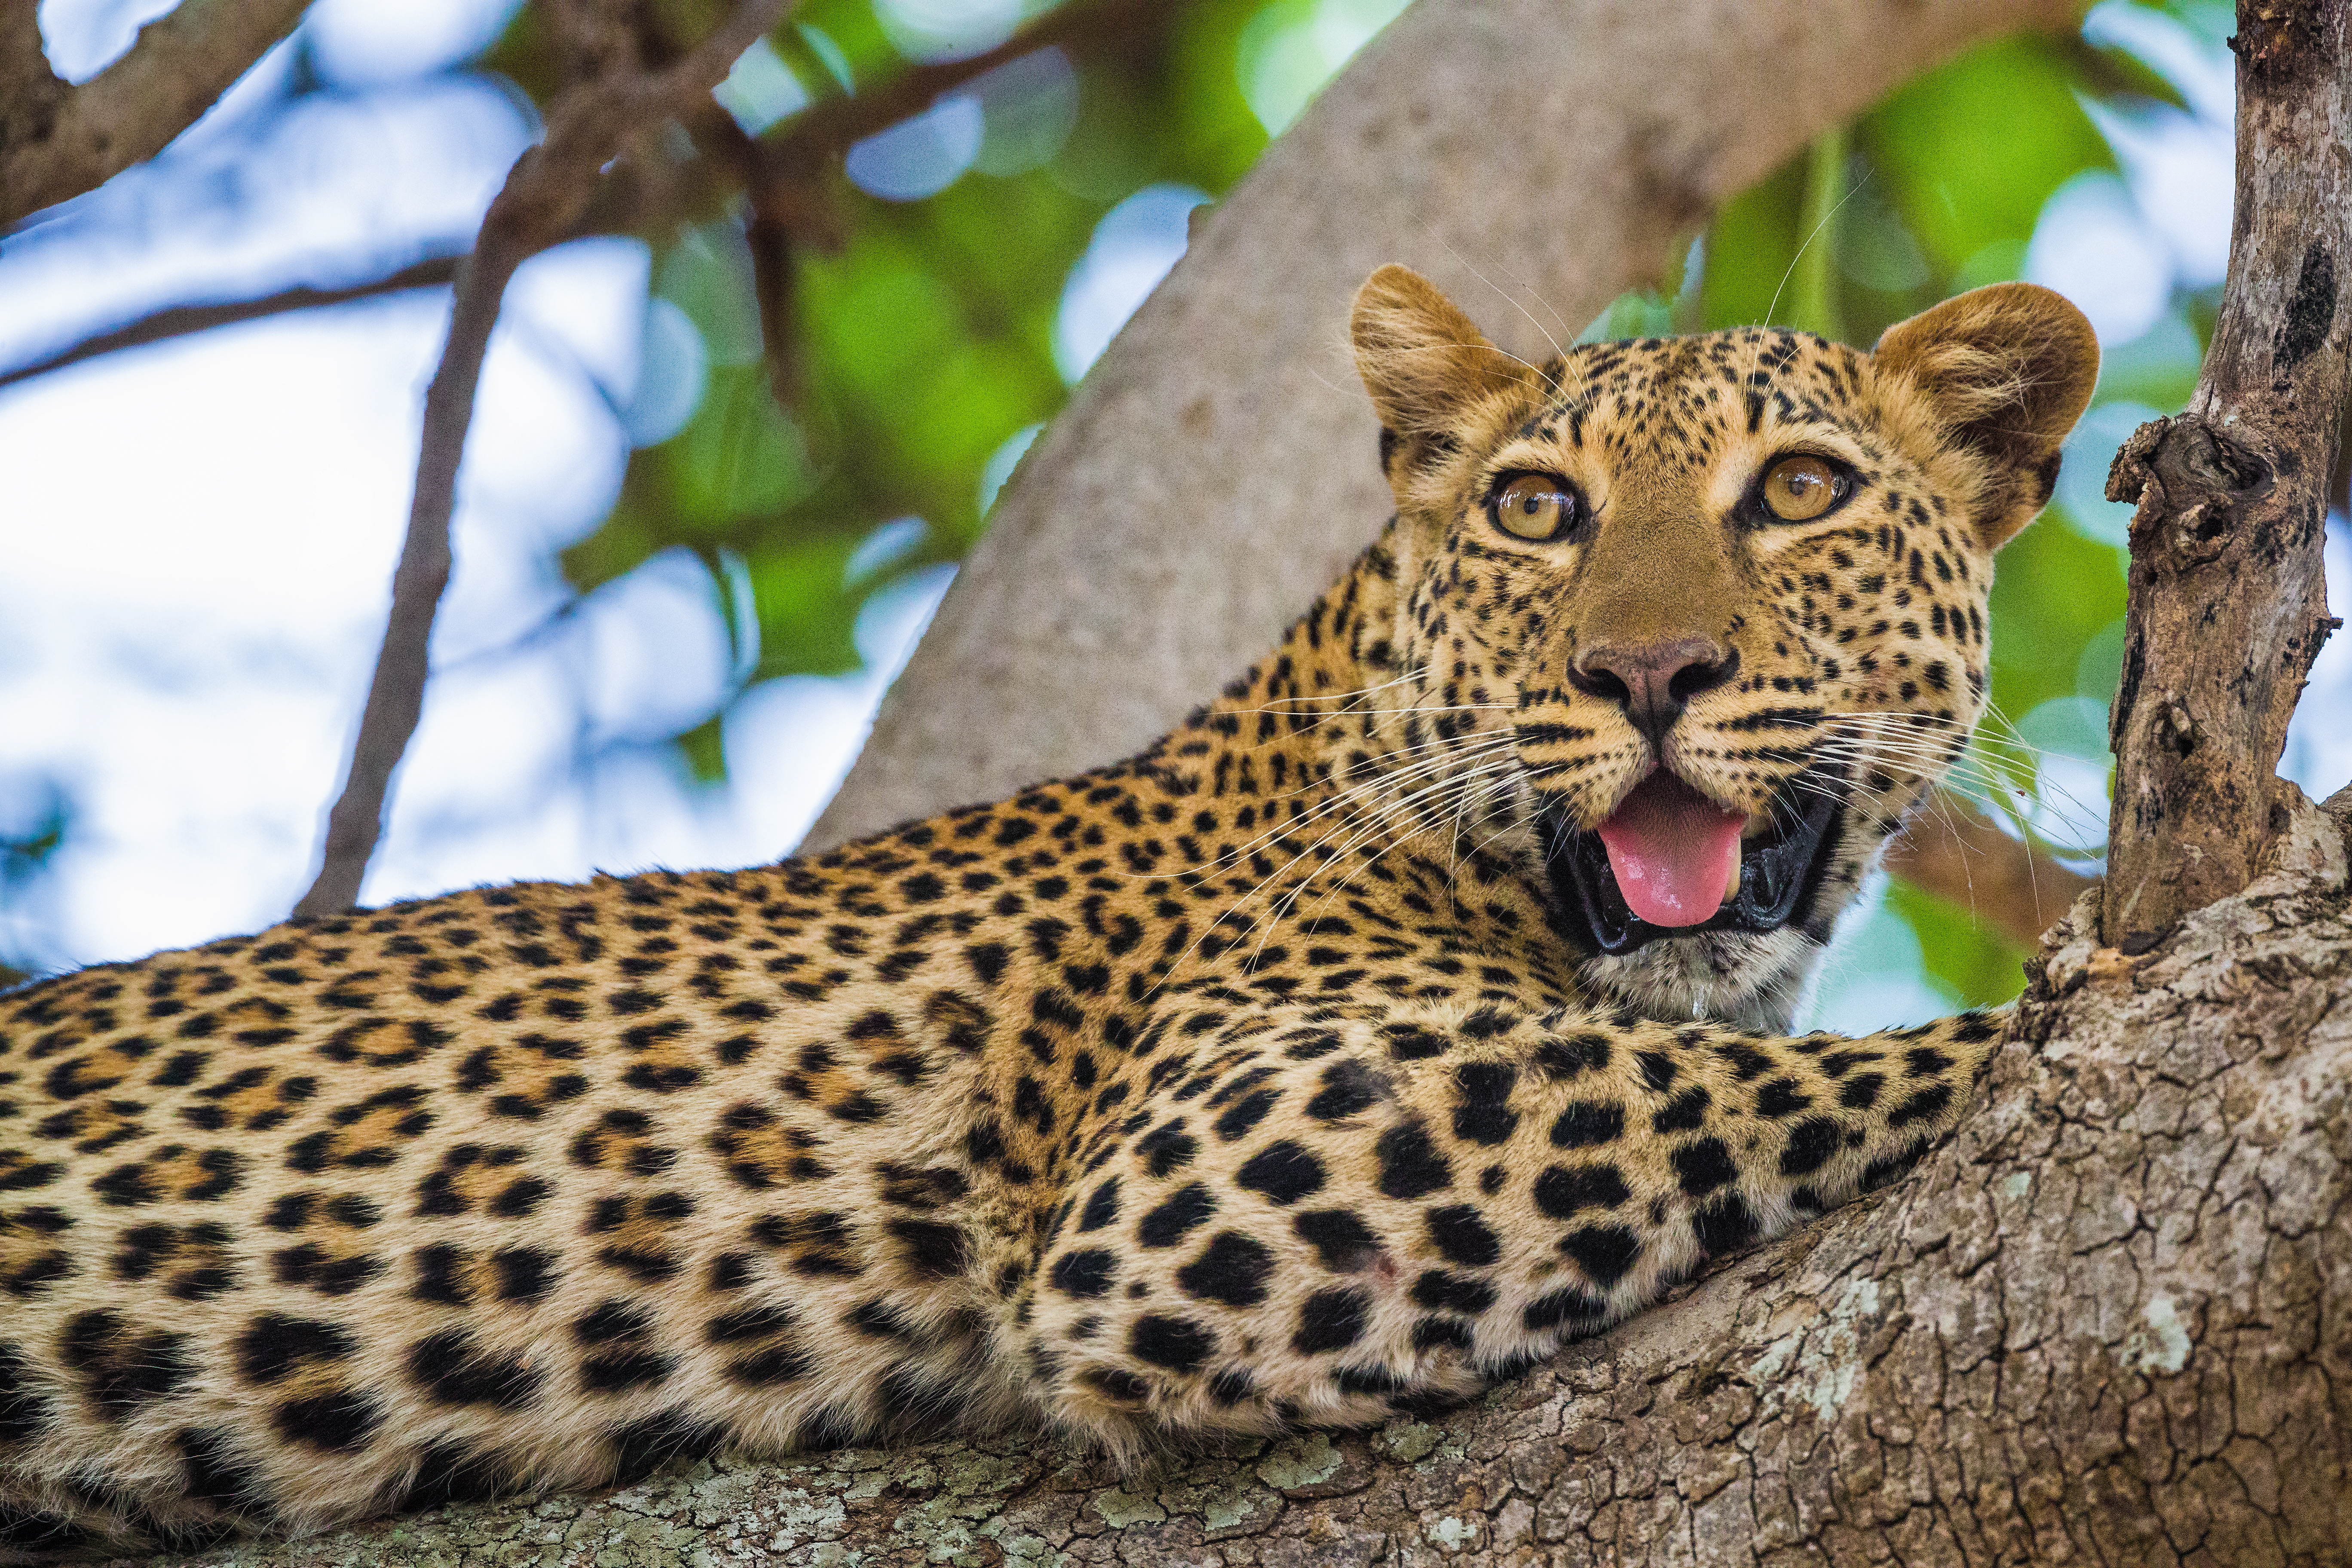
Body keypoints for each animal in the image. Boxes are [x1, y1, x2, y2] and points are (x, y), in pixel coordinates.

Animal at [0, 265, 2097, 1560]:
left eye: (1798, 490)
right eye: (1533, 511)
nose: (1644, 671)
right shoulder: (1227, 1139)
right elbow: (1771, 1081)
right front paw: (2091, 983)